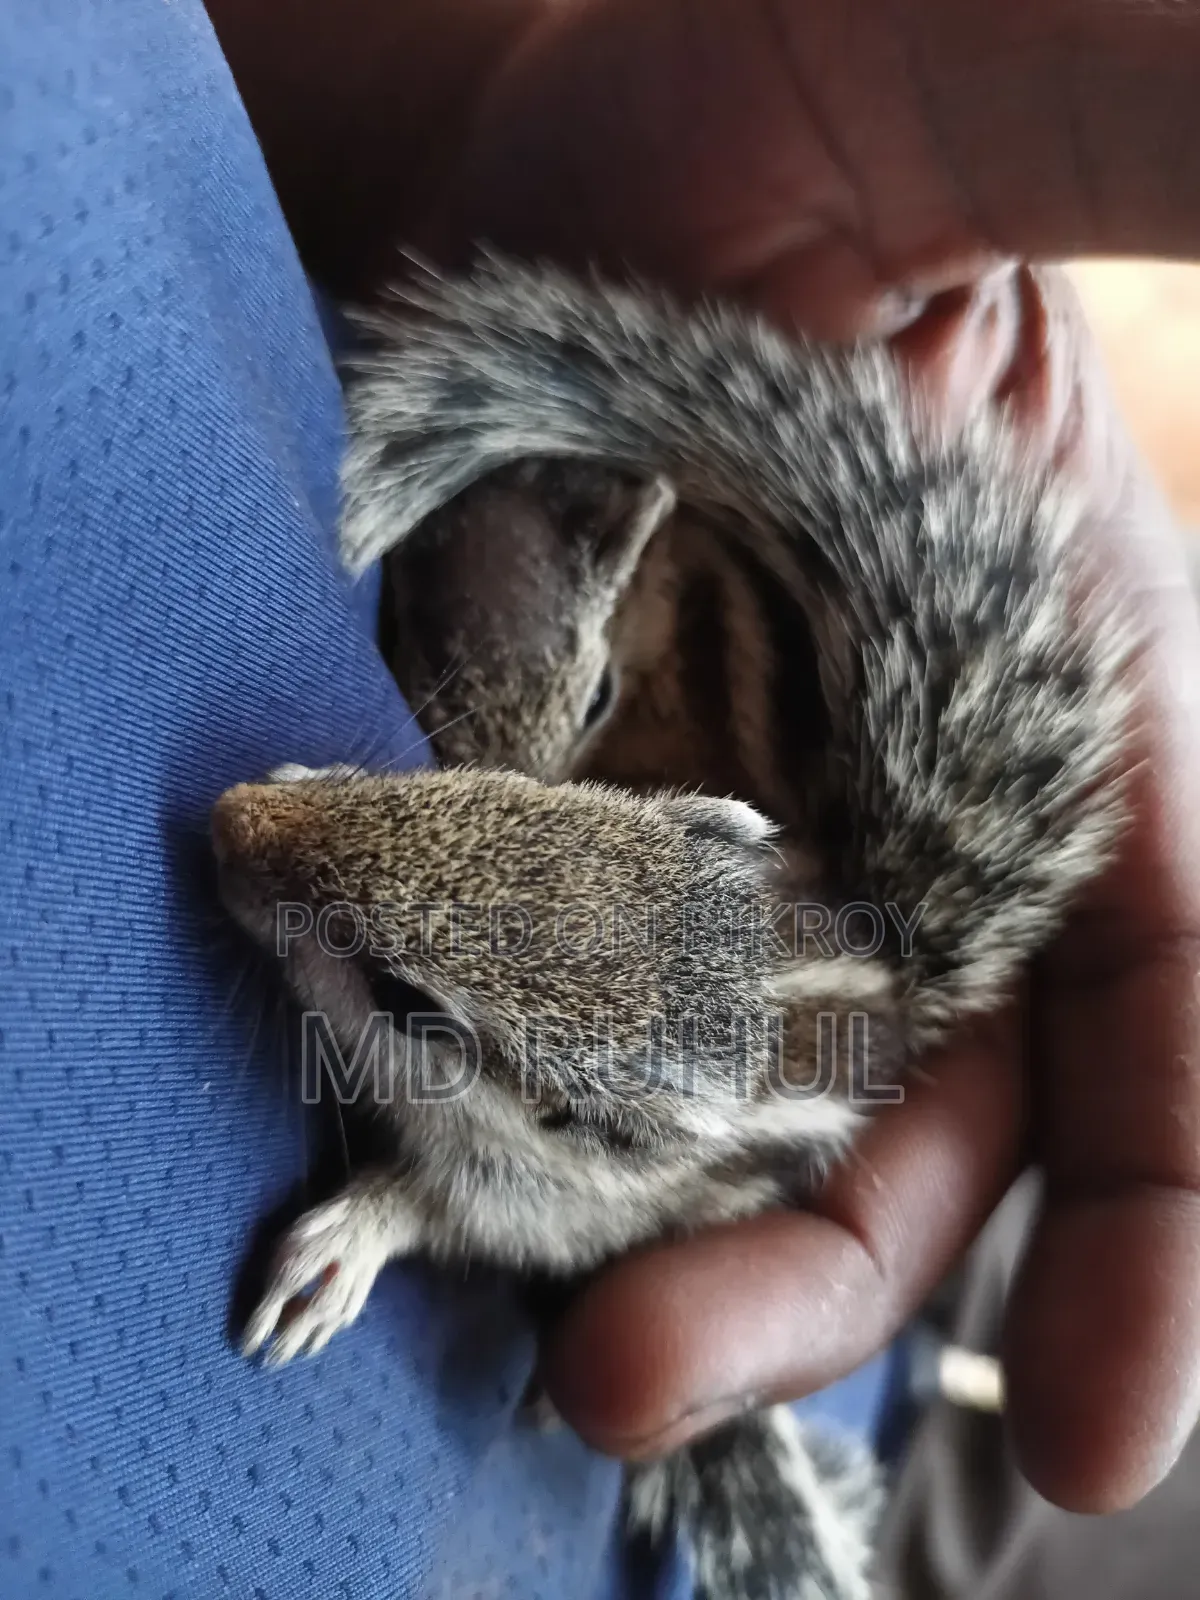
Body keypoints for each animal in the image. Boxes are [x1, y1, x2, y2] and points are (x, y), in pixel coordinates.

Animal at [213, 259, 1131, 1600]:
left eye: (410, 1004)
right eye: (483, 795)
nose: (227, 824)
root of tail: (901, 970)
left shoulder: (553, 1206)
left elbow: (445, 1215)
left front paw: (346, 1241)